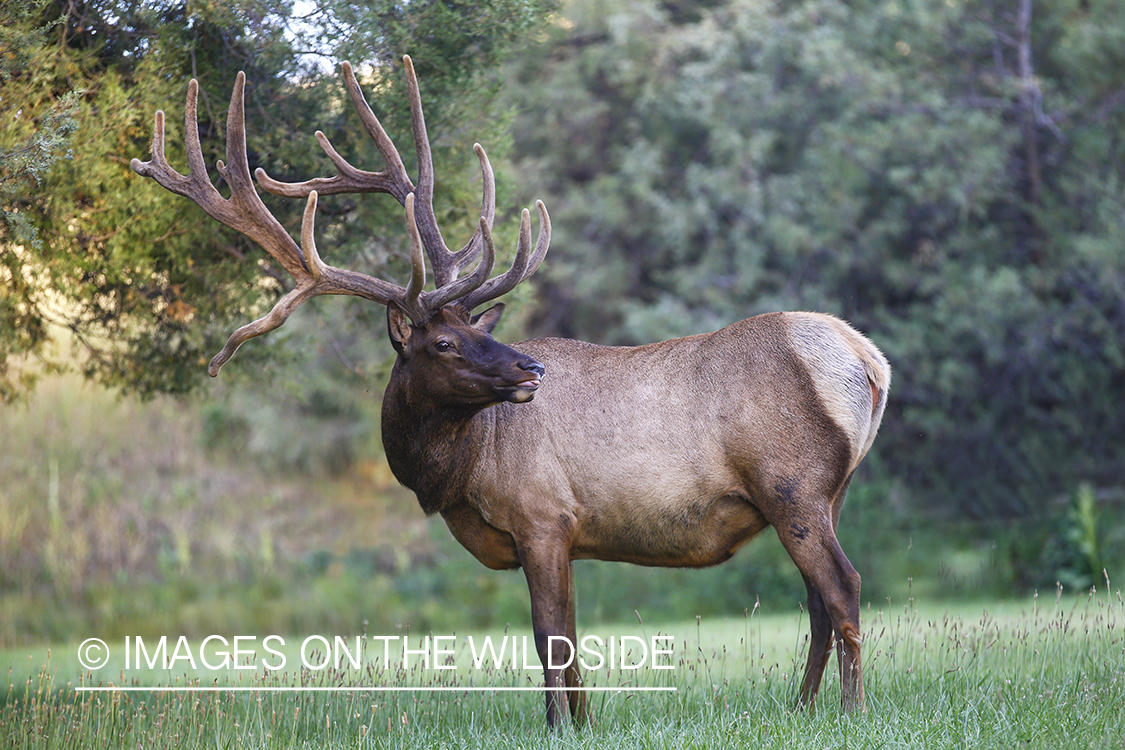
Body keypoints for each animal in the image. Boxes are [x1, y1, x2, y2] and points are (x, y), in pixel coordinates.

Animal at [131, 54, 886, 728]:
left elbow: (548, 636)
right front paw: (583, 723)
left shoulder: (542, 514)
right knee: (817, 600)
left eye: (469, 330)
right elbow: (570, 639)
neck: (457, 475)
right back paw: (801, 708)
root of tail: (867, 360)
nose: (530, 370)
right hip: (828, 492)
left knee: (842, 588)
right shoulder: (566, 531)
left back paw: (851, 712)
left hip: (790, 481)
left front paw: (556, 727)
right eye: (444, 342)